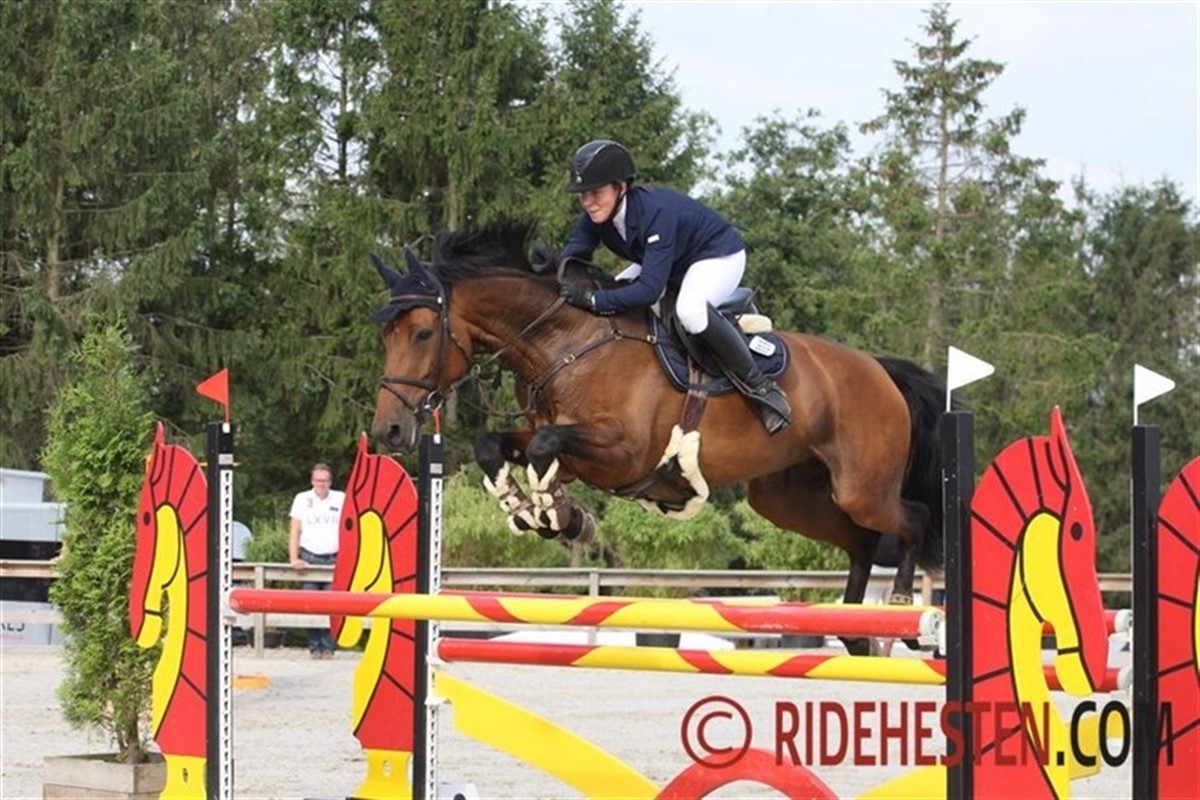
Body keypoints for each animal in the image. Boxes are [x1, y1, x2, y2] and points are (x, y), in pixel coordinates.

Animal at [368, 219, 945, 655]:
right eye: (386, 335)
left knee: (912, 519)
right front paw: (542, 512)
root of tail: (879, 368)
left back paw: (901, 611)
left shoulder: (622, 453)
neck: (565, 342)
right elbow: (502, 446)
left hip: (861, 487)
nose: (387, 430)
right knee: (861, 540)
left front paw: (559, 517)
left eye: (423, 333)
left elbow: (543, 446)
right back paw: (856, 632)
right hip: (787, 499)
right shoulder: (572, 448)